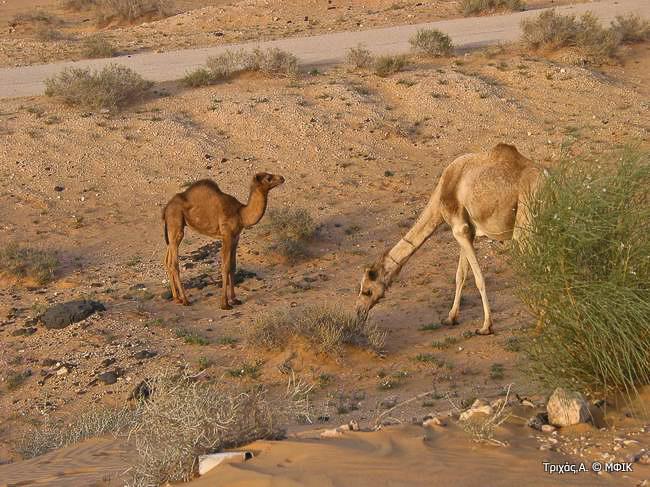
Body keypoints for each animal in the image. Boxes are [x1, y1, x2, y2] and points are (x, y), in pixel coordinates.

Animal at [162, 173, 284, 308]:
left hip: (172, 230)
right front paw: (225, 303)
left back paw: (177, 298)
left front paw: (235, 299)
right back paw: (185, 300)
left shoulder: (236, 238)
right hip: (176, 222)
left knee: (167, 261)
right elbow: (225, 267)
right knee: (174, 263)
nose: (282, 178)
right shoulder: (227, 236)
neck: (241, 214)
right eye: (268, 178)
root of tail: (166, 208)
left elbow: (233, 266)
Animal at [356, 142, 544, 336]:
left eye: (367, 291)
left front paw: (486, 327)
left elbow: (478, 279)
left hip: (525, 223)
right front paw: (451, 318)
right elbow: (460, 275)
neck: (441, 193)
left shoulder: (459, 229)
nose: (359, 311)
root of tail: (545, 179)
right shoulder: (466, 231)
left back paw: (539, 325)